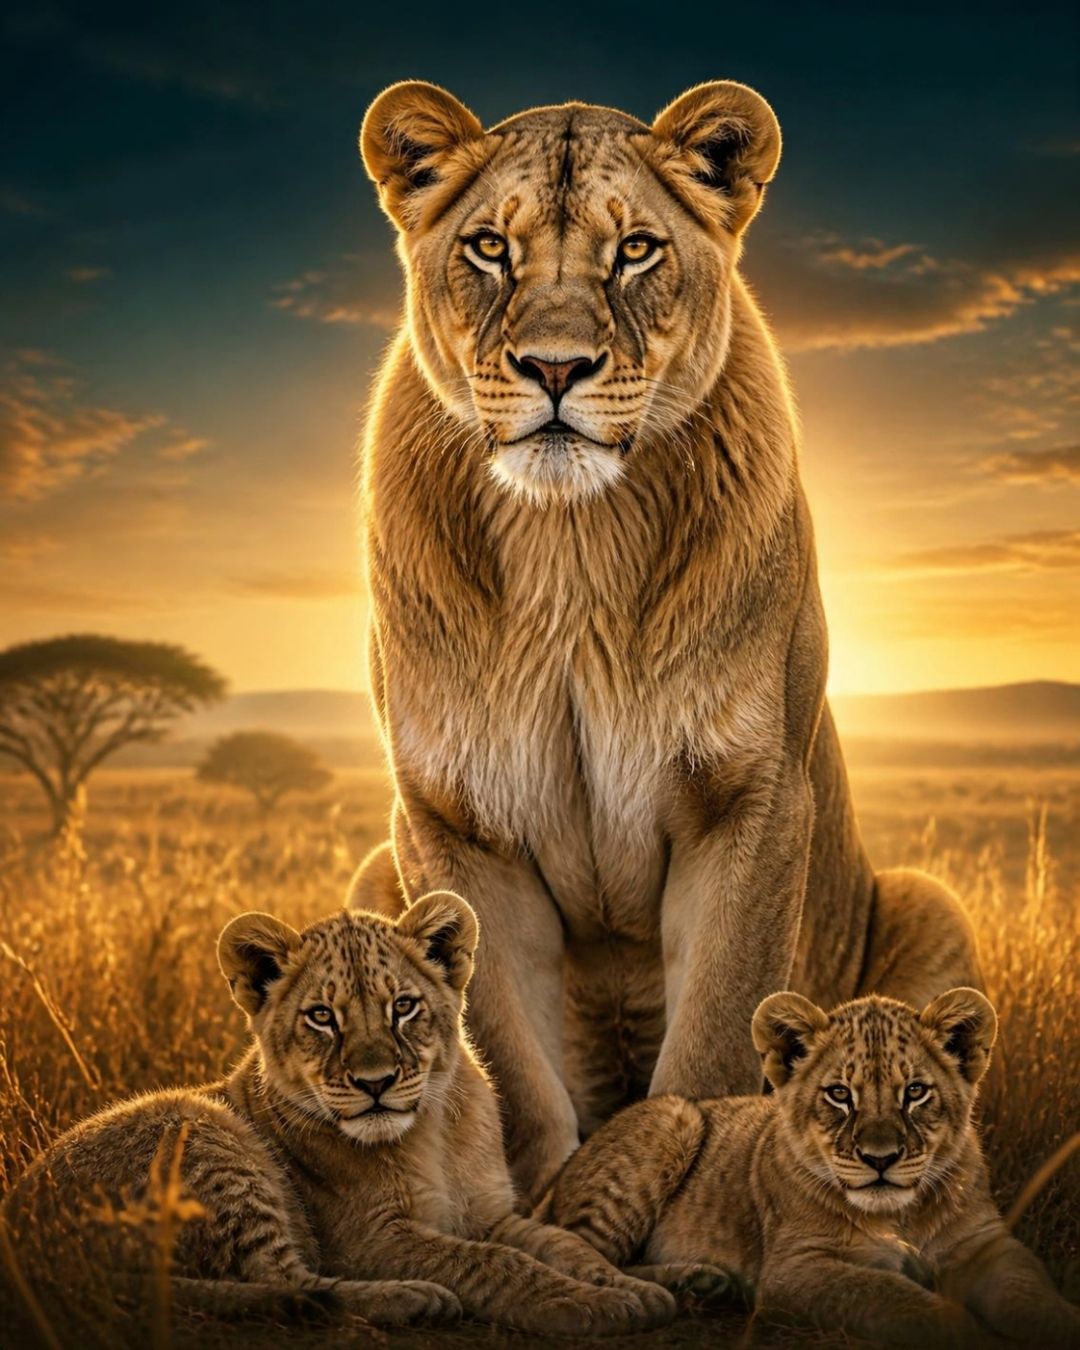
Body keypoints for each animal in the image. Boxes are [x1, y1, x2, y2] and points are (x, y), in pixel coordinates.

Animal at [2, 897, 675, 1336]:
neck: (432, 1135)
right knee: (287, 1282)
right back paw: (413, 1298)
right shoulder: (368, 1239)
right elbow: (494, 1264)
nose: (375, 1084)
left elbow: (561, 1244)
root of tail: (25, 1236)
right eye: (322, 1017)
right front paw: (587, 1306)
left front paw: (633, 1289)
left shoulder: (490, 1214)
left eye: (403, 1006)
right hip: (202, 1130)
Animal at [353, 77, 982, 1201]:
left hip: (931, 902)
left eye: (637, 249)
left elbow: (714, 1044)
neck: (570, 547)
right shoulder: (450, 821)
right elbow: (509, 1062)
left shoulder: (750, 799)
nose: (555, 367)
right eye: (488, 247)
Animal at [547, 988, 1080, 1347]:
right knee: (577, 1247)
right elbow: (892, 1296)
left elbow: (1030, 1289)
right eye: (839, 1094)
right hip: (672, 1119)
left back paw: (701, 1283)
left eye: (915, 1092)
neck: (899, 1215)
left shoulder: (985, 1244)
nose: (880, 1159)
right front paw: (964, 1332)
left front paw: (1059, 1325)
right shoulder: (797, 1268)